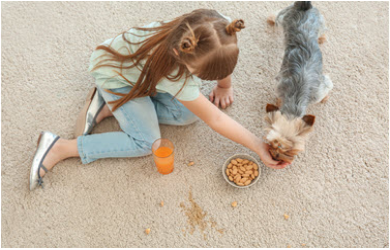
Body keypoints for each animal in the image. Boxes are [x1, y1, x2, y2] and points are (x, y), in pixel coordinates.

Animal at [262, 1, 332, 163]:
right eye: (272, 143)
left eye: (289, 149)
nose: (275, 156)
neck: (295, 100)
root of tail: (304, 6)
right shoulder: (280, 86)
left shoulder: (321, 88)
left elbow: (327, 88)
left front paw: (325, 98)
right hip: (284, 17)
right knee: (277, 15)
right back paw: (271, 19)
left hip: (318, 21)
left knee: (322, 31)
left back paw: (321, 38)